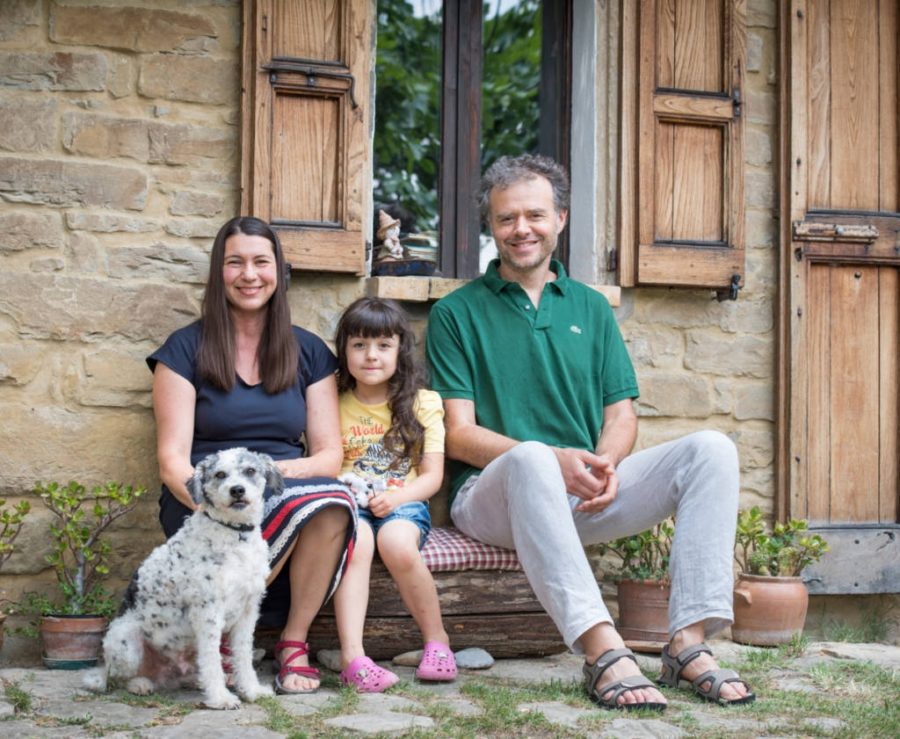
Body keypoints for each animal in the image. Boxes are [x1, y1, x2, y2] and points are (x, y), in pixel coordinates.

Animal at [86, 448, 282, 708]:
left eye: (250, 470)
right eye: (220, 474)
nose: (237, 490)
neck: (234, 534)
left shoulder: (248, 611)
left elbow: (243, 656)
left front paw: (251, 690)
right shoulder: (208, 612)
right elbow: (211, 661)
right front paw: (220, 698)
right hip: (126, 643)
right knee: (119, 676)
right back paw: (140, 684)